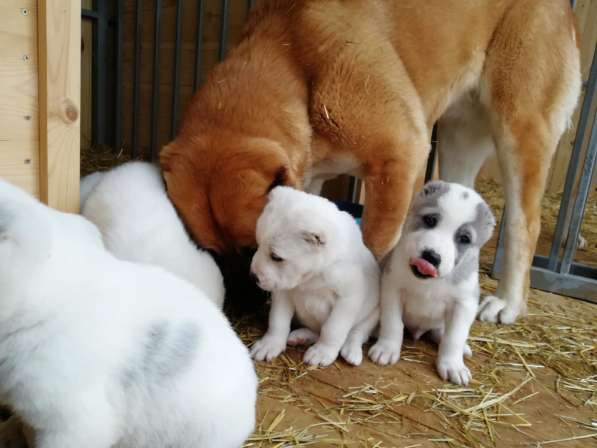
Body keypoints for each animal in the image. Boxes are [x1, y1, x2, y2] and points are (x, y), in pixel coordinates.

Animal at [161, 0, 580, 324]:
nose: (243, 309)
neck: (293, 59)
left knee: (525, 223)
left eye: (254, 247)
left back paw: (508, 301)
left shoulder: (400, 157)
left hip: (519, 128)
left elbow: (372, 247)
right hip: (460, 137)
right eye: (214, 252)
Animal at [249, 187, 380, 366]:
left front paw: (322, 351)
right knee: (316, 330)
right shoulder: (282, 292)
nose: (253, 275)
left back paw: (351, 350)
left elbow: (332, 329)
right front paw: (270, 343)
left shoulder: (348, 299)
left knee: (357, 333)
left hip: (373, 313)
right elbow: (277, 321)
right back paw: (301, 336)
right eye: (258, 244)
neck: (313, 277)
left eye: (276, 257)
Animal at [368, 181, 494, 384]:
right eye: (430, 220)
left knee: (442, 333)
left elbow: (454, 337)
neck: (430, 282)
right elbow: (393, 324)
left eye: (464, 238)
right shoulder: (392, 289)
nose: (431, 257)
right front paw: (387, 348)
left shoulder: (464, 304)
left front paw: (452, 365)